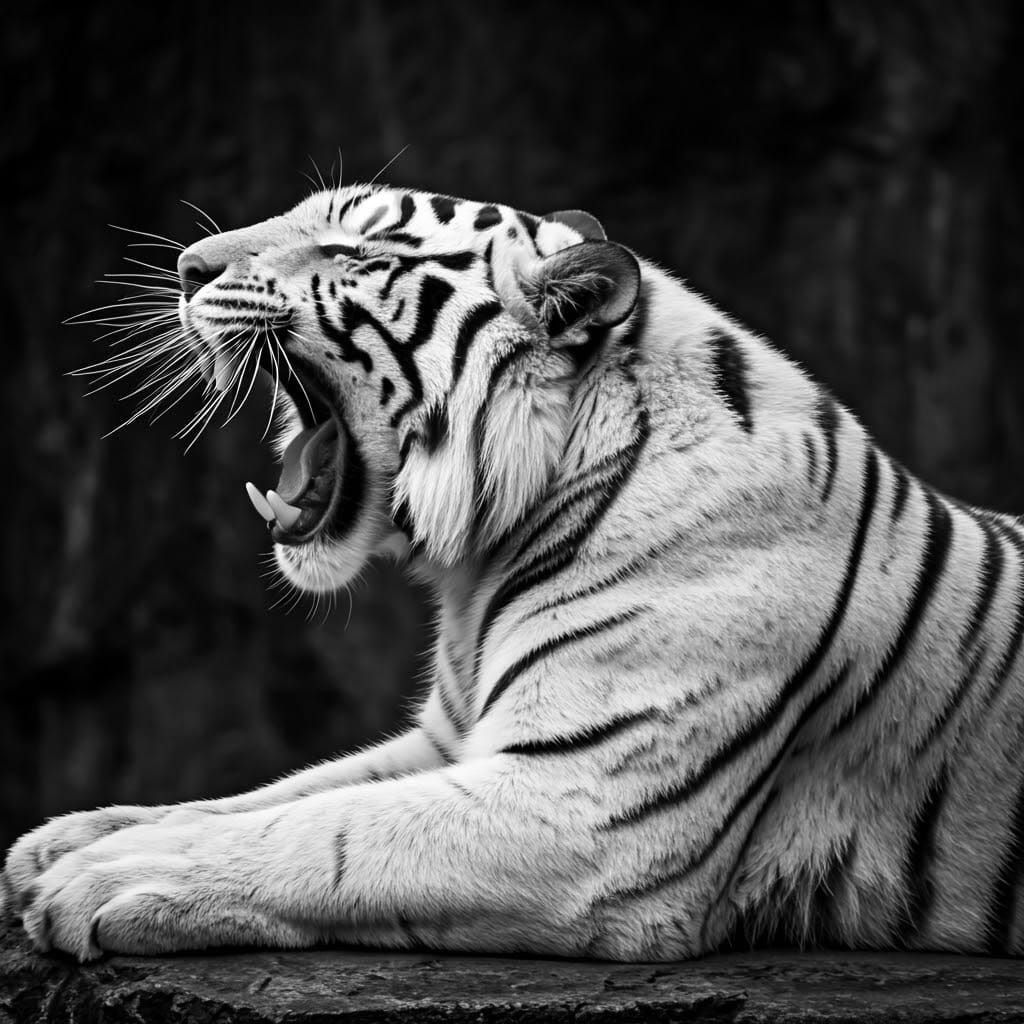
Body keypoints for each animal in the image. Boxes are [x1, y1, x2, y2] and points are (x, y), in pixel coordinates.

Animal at [3, 182, 1023, 964]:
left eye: (349, 249)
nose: (186, 267)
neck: (484, 564)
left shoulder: (584, 805)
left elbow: (330, 832)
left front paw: (108, 876)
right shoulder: (447, 741)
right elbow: (274, 795)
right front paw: (68, 839)